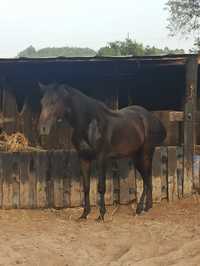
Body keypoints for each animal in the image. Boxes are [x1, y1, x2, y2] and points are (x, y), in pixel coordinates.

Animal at [38, 83, 166, 220]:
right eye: (42, 102)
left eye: (54, 101)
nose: (42, 128)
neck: (90, 124)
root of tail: (153, 118)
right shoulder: (84, 158)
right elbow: (86, 186)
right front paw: (84, 214)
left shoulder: (101, 158)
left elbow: (101, 187)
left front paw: (101, 215)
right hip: (137, 157)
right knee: (148, 179)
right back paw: (147, 207)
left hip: (145, 154)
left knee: (146, 180)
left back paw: (139, 208)